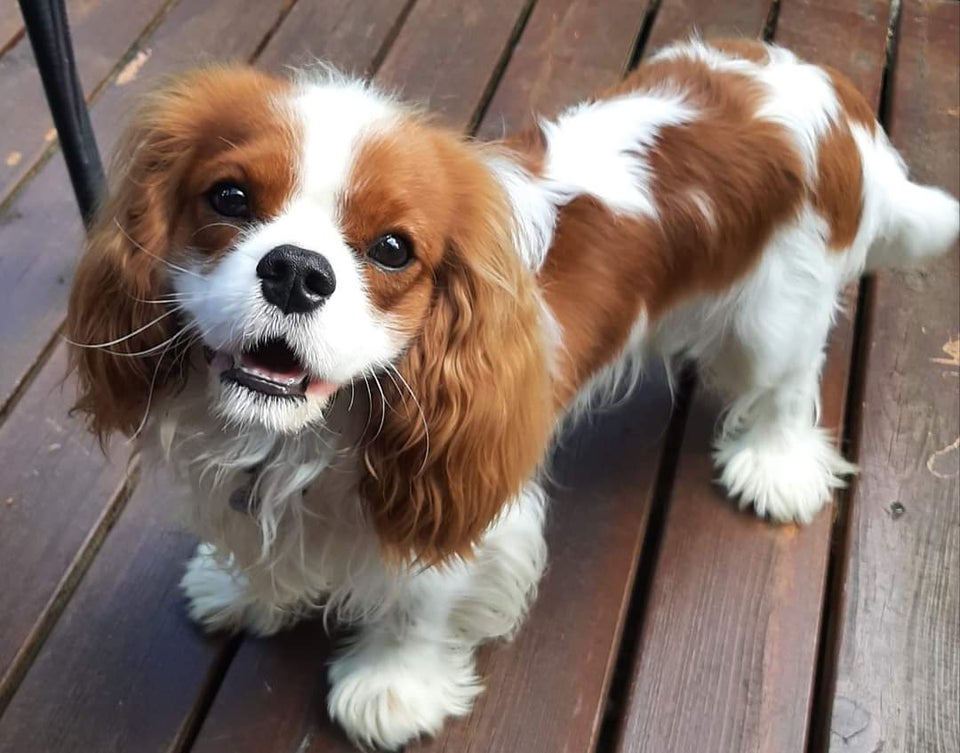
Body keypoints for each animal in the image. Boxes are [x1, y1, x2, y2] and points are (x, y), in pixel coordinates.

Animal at [67, 36, 960, 748]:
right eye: (229, 198)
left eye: (393, 249)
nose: (294, 270)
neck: (306, 433)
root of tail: (832, 95)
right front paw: (247, 589)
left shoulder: (468, 490)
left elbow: (422, 597)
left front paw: (393, 687)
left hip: (778, 312)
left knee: (785, 384)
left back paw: (775, 467)